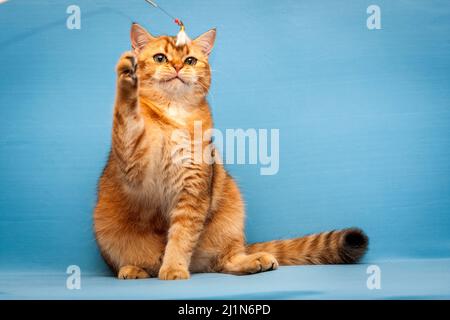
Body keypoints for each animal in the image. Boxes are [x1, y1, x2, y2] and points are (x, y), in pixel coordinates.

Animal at [93, 23, 368, 280]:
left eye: (190, 60)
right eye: (160, 57)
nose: (178, 67)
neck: (175, 115)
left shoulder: (193, 192)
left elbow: (181, 238)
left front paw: (173, 268)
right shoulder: (134, 165)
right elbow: (127, 115)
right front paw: (127, 79)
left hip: (232, 213)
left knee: (224, 261)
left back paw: (253, 260)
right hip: (106, 230)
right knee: (140, 263)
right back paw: (133, 269)